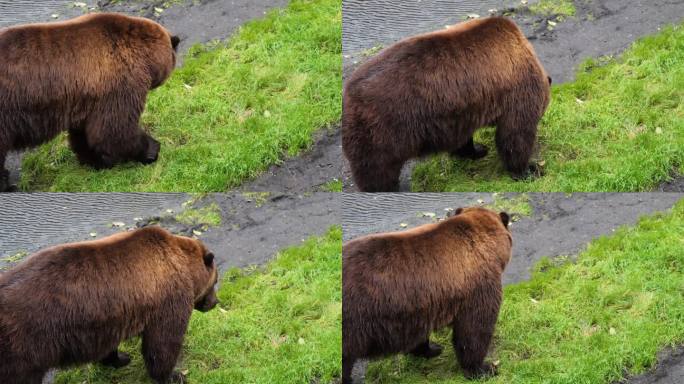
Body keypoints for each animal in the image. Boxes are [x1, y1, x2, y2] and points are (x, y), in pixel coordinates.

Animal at [0, 12, 182, 191]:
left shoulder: (85, 98)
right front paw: (152, 149)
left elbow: (86, 134)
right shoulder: (119, 83)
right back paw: (8, 184)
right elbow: (116, 130)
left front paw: (95, 161)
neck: (142, 57)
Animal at [0, 225, 218, 384]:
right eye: (215, 281)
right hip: (25, 346)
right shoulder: (168, 299)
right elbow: (163, 343)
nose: (215, 302)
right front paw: (174, 375)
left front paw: (120, 358)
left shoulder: (109, 318)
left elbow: (110, 346)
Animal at [342, 16, 552, 192]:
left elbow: (464, 138)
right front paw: (529, 170)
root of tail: (350, 92)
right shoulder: (518, 90)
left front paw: (477, 150)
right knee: (377, 169)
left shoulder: (463, 110)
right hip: (384, 127)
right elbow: (515, 134)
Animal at [344, 207, 510, 380]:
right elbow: (474, 329)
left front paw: (431, 349)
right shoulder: (477, 286)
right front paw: (484, 368)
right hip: (356, 318)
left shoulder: (422, 305)